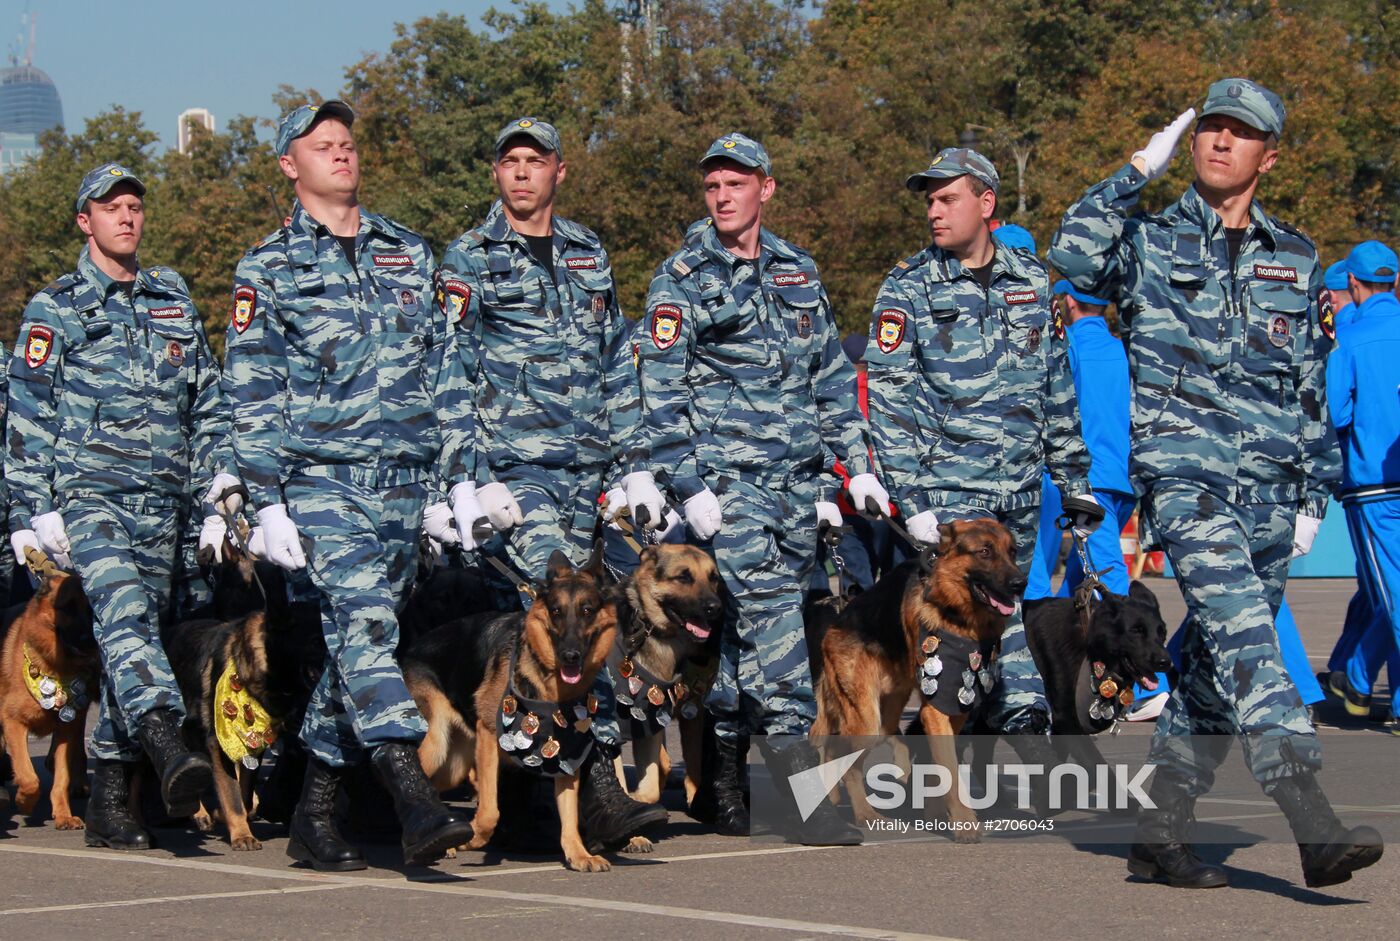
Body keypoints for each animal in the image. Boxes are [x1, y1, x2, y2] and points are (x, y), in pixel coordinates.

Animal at [0, 551, 96, 828]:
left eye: (93, 610)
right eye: (67, 608)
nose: (89, 641)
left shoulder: (66, 728)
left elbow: (61, 778)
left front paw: (63, 815)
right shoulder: (12, 722)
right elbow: (29, 776)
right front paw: (24, 801)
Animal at [160, 532, 323, 851]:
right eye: (315, 639)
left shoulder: (254, 744)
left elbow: (244, 794)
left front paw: (236, 817)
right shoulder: (218, 742)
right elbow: (233, 794)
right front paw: (241, 834)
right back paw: (198, 811)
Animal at [406, 548, 624, 873]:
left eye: (587, 610)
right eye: (556, 611)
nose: (570, 655)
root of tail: (406, 653)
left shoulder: (565, 754)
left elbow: (569, 814)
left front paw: (578, 854)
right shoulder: (488, 736)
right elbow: (489, 812)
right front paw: (473, 837)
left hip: (452, 765)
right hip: (435, 745)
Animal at [806, 520, 1024, 840]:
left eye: (1012, 552)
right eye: (984, 551)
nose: (1020, 583)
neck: (956, 617)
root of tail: (833, 624)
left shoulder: (956, 707)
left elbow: (937, 766)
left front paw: (935, 814)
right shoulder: (936, 708)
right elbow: (949, 769)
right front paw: (963, 823)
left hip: (886, 715)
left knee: (837, 747)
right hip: (867, 722)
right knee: (847, 760)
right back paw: (864, 813)